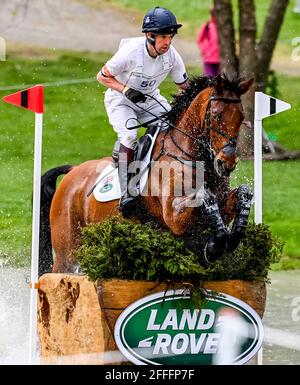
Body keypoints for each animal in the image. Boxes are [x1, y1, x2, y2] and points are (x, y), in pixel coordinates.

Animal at [38, 74, 254, 276]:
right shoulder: (174, 217)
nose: (227, 163)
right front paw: (215, 245)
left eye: (241, 117)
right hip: (68, 251)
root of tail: (74, 170)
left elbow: (243, 193)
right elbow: (204, 196)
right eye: (217, 115)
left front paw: (227, 239)